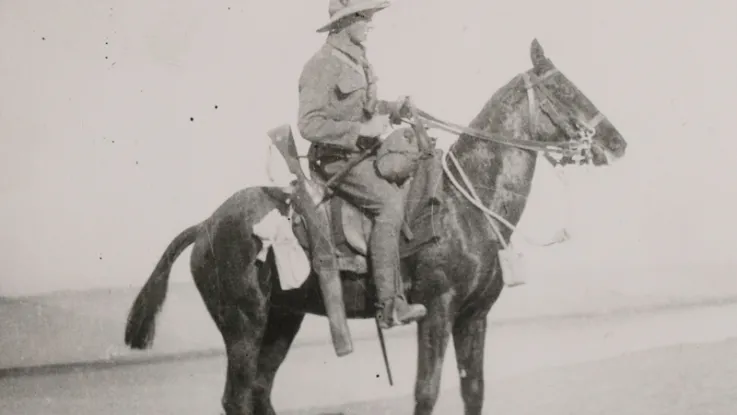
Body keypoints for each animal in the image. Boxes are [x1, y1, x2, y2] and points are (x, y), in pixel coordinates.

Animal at [122, 40, 628, 415]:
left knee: (260, 392)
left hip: (283, 319)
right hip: (243, 324)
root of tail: (207, 225)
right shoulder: (437, 311)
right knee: (238, 397)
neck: (465, 208)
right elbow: (426, 392)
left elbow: (474, 391)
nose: (617, 143)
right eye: (563, 90)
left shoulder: (474, 317)